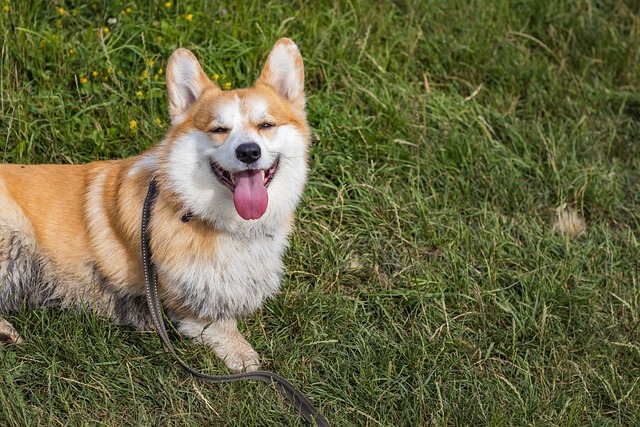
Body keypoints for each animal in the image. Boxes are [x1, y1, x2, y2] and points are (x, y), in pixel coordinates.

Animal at [0, 38, 310, 372]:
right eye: (218, 130)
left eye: (266, 124)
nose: (249, 152)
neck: (198, 210)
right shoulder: (185, 301)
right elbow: (218, 323)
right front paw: (242, 355)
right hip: (14, 234)